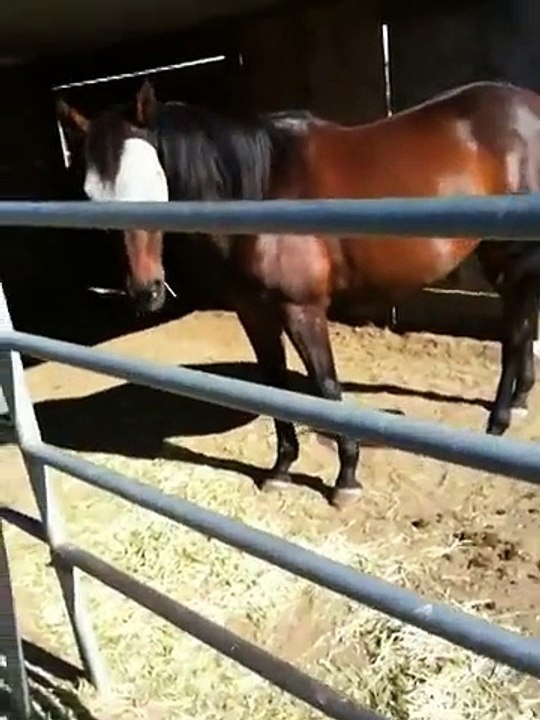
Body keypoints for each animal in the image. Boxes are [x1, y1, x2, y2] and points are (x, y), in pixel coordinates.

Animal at [57, 79, 540, 508]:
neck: (260, 192)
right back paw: (519, 400)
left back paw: (498, 420)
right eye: (91, 198)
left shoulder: (302, 310)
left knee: (516, 328)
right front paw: (281, 470)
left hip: (512, 254)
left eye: (154, 182)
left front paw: (346, 479)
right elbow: (275, 386)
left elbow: (326, 388)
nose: (146, 292)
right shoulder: (253, 312)